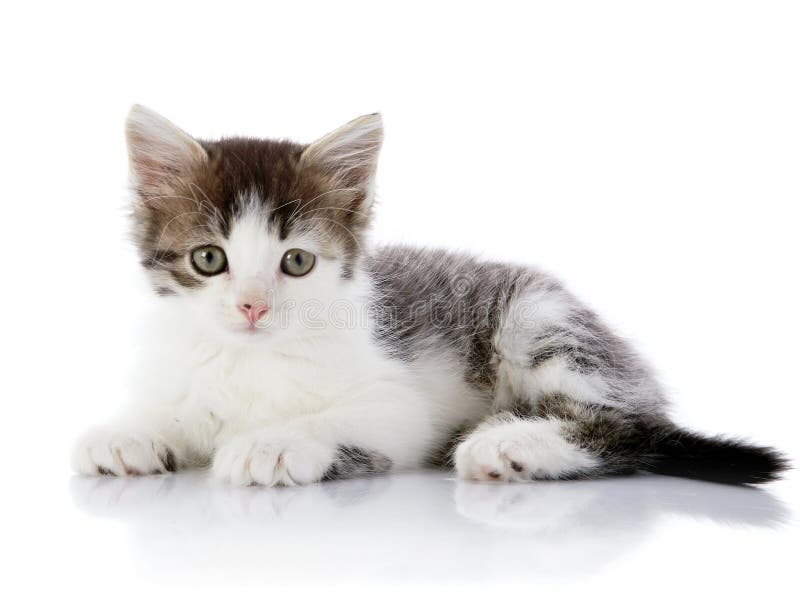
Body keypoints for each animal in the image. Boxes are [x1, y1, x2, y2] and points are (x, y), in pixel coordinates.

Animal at [73, 105, 788, 486]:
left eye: (296, 261)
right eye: (209, 259)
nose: (253, 306)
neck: (251, 360)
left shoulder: (400, 404)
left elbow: (342, 418)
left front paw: (271, 444)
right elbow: (175, 412)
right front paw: (127, 433)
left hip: (538, 317)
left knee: (632, 428)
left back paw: (511, 444)